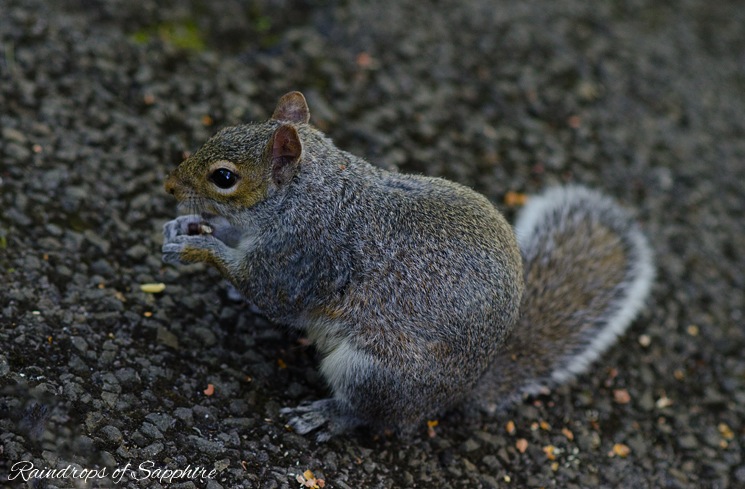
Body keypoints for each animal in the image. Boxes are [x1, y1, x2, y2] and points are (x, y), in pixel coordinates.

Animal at [161, 90, 652, 438]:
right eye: (225, 127)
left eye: (224, 177)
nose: (168, 186)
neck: (308, 193)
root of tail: (457, 394)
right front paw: (188, 225)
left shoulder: (306, 255)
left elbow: (268, 291)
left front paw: (198, 247)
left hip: (374, 371)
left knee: (371, 416)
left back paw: (329, 415)